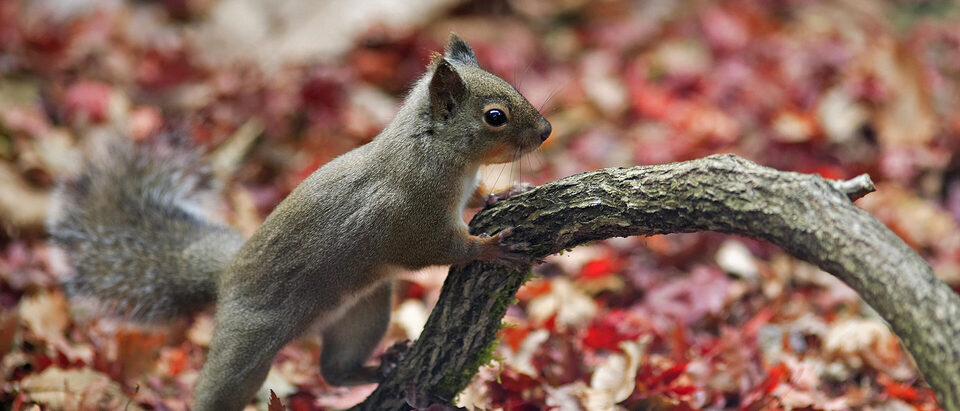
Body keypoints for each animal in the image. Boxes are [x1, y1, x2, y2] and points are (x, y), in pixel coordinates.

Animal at [48, 35, 551, 410]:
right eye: (495, 116)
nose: (546, 131)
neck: (436, 151)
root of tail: (224, 279)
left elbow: (479, 197)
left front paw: (505, 192)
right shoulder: (410, 218)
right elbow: (437, 249)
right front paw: (490, 247)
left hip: (363, 311)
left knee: (335, 371)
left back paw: (382, 366)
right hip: (245, 349)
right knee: (222, 388)